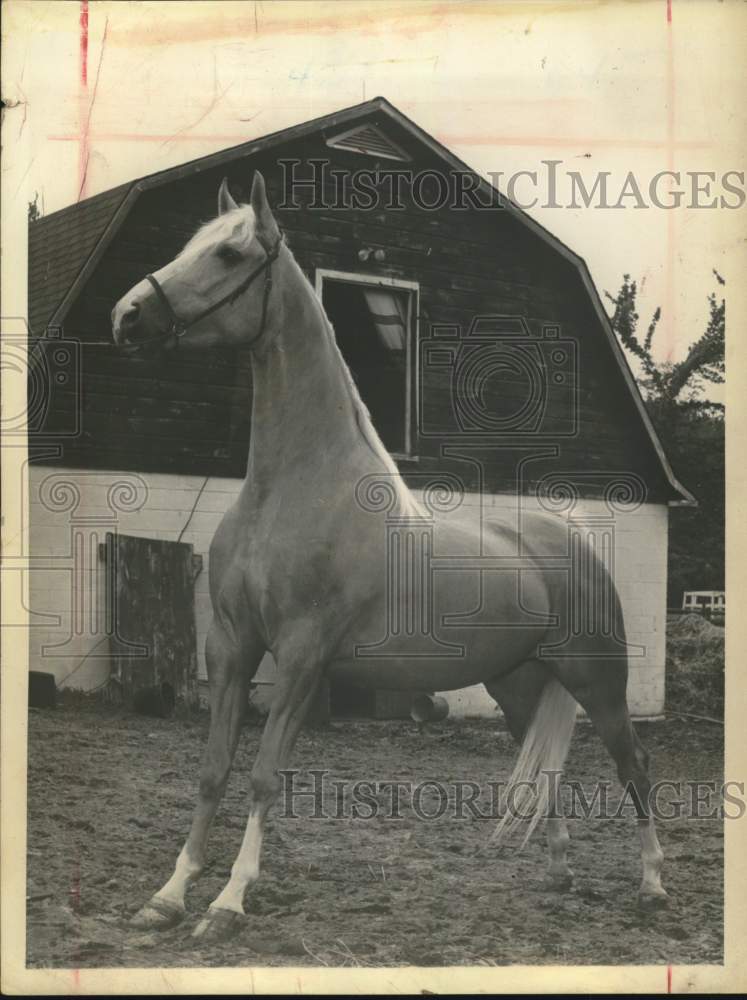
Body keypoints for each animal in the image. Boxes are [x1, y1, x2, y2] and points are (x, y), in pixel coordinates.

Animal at [111, 171, 668, 943]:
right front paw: (169, 895)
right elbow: (212, 768)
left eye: (227, 255)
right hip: (517, 684)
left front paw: (228, 901)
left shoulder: (302, 657)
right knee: (545, 766)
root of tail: (572, 544)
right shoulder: (230, 647)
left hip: (598, 681)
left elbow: (262, 775)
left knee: (634, 765)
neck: (290, 490)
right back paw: (557, 874)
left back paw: (651, 885)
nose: (126, 315)